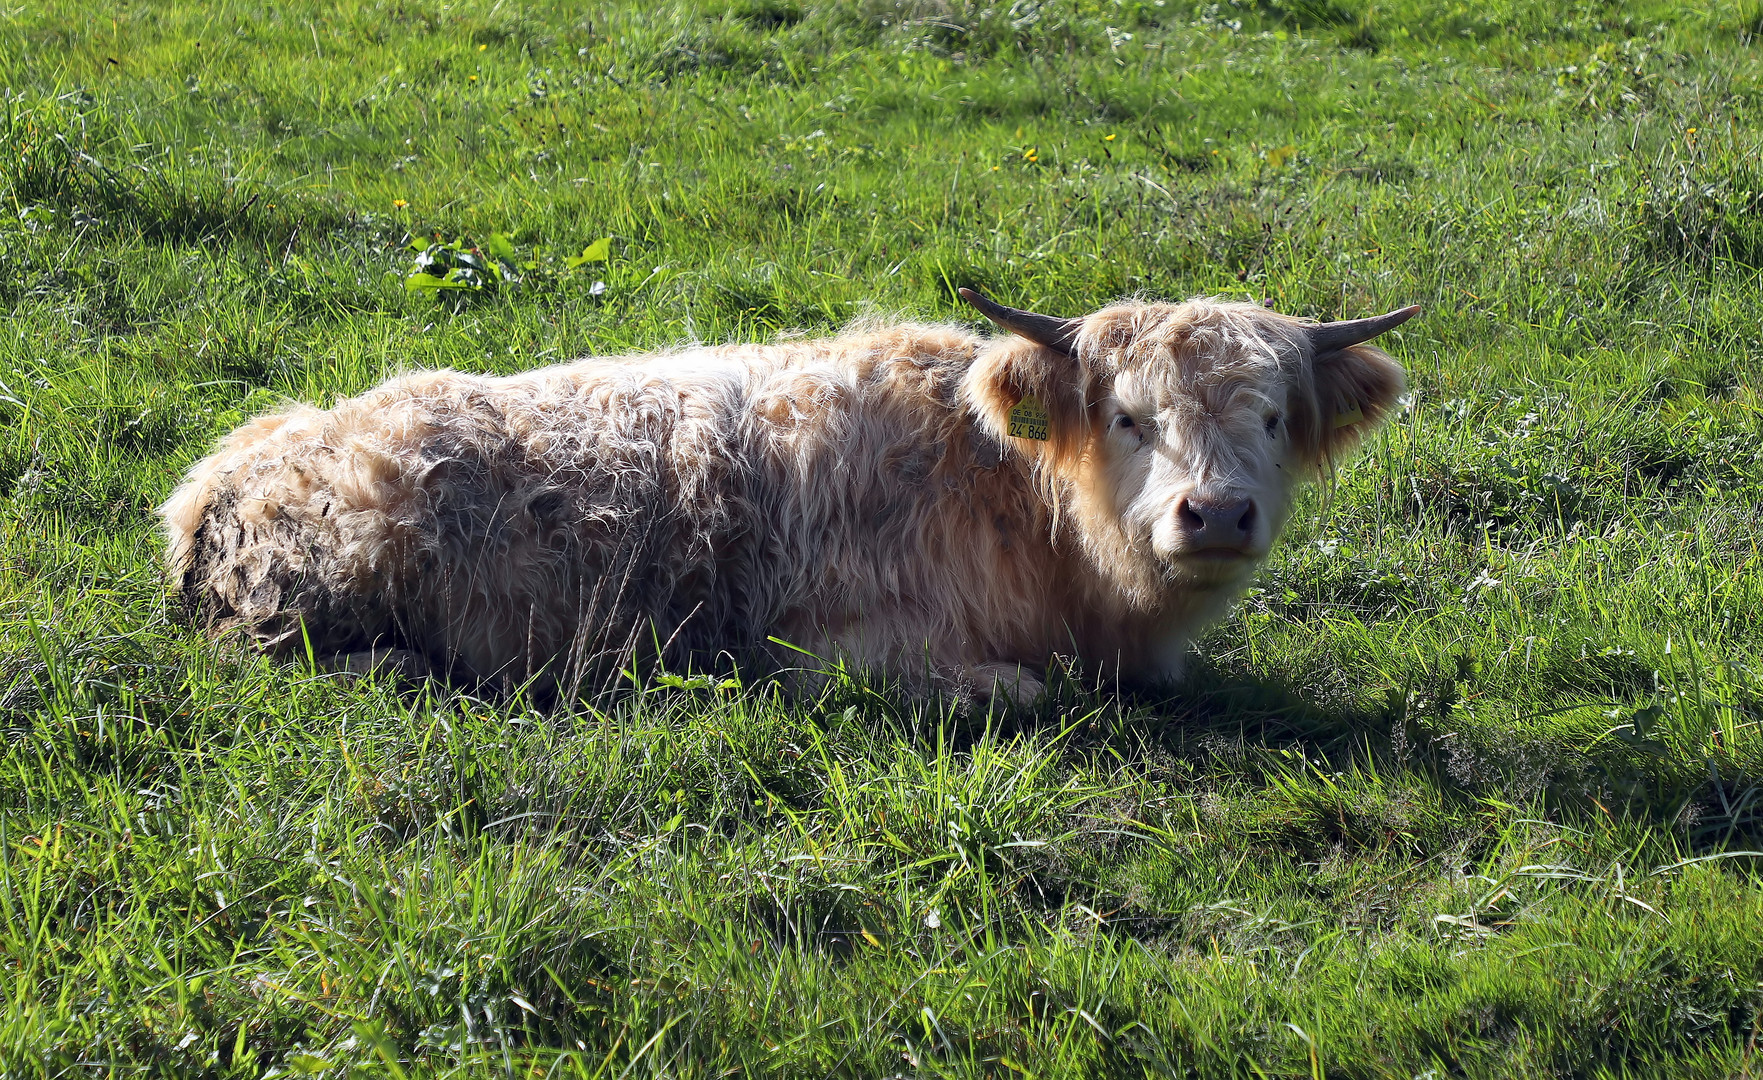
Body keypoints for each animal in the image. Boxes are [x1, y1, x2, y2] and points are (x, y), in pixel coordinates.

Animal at [158, 290, 1410, 704]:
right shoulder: (837, 650)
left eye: (1270, 417)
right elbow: (1018, 691)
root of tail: (213, 480)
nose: (1214, 514)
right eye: (1127, 416)